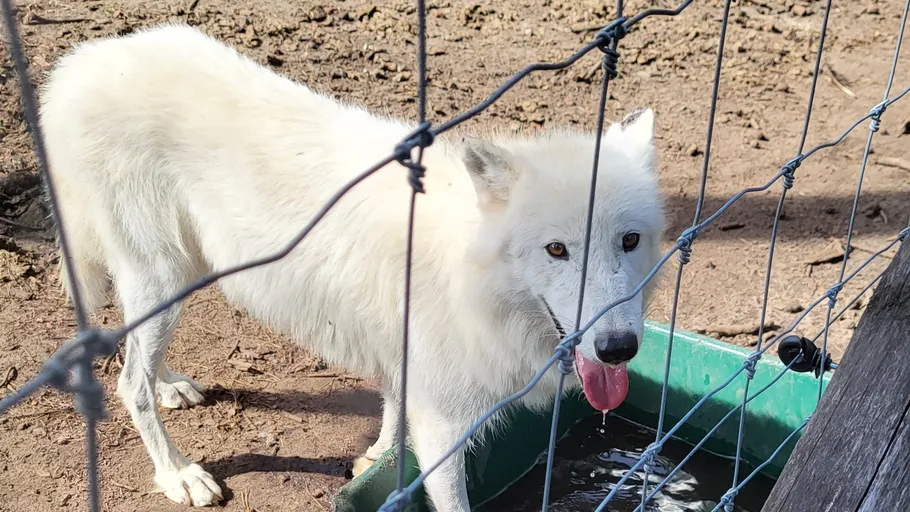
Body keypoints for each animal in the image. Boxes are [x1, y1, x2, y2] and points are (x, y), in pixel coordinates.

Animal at [38, 23, 664, 511]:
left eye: (630, 241)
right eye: (557, 250)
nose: (618, 348)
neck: (470, 277)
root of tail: (76, 65)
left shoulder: (405, 359)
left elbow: (391, 414)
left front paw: (375, 458)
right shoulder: (444, 426)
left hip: (174, 278)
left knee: (137, 358)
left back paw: (171, 384)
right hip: (159, 275)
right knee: (128, 383)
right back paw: (178, 473)